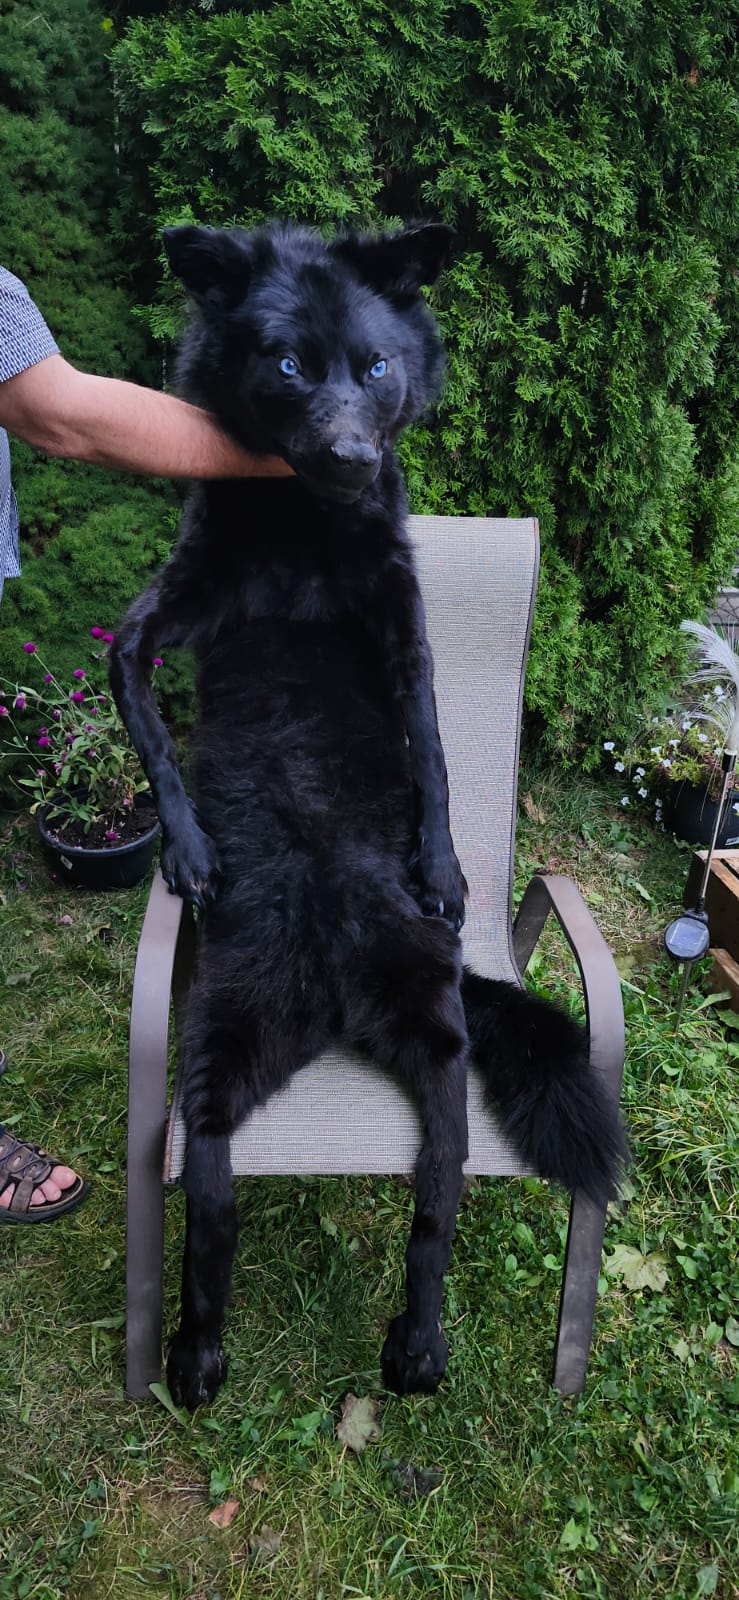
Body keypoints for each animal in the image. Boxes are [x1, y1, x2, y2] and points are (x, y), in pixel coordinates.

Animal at [110, 221, 625, 1410]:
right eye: (290, 364)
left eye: (376, 366)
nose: (348, 459)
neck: (306, 522)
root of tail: (334, 996)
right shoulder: (171, 609)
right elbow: (139, 705)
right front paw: (186, 844)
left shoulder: (402, 623)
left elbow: (430, 748)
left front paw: (440, 867)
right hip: (216, 1062)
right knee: (210, 1206)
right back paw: (197, 1352)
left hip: (436, 1056)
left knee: (438, 1193)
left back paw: (418, 1345)